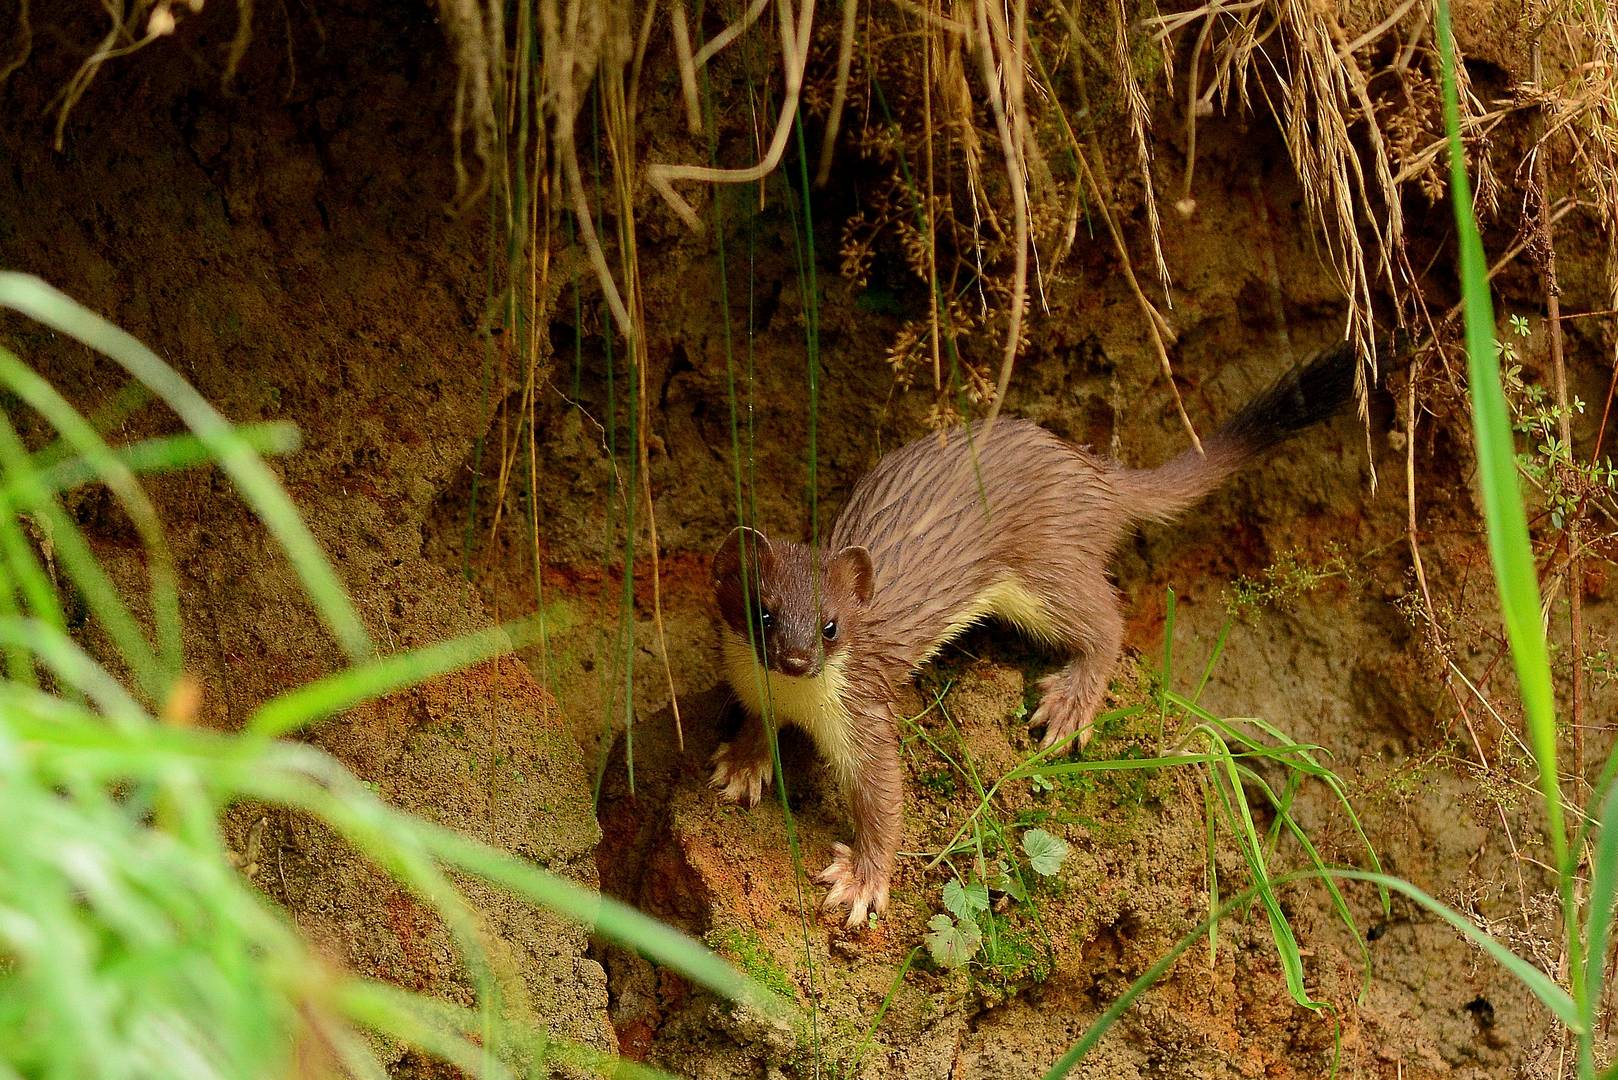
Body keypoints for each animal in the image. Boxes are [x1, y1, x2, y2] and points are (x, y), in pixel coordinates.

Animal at [715, 341, 1359, 926]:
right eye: (763, 612)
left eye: (831, 626)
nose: (796, 659)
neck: (798, 701)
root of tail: (1091, 471)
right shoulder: (751, 686)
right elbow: (755, 724)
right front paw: (742, 764)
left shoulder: (865, 714)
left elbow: (884, 798)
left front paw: (861, 881)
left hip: (1047, 569)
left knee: (1107, 621)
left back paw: (1070, 703)